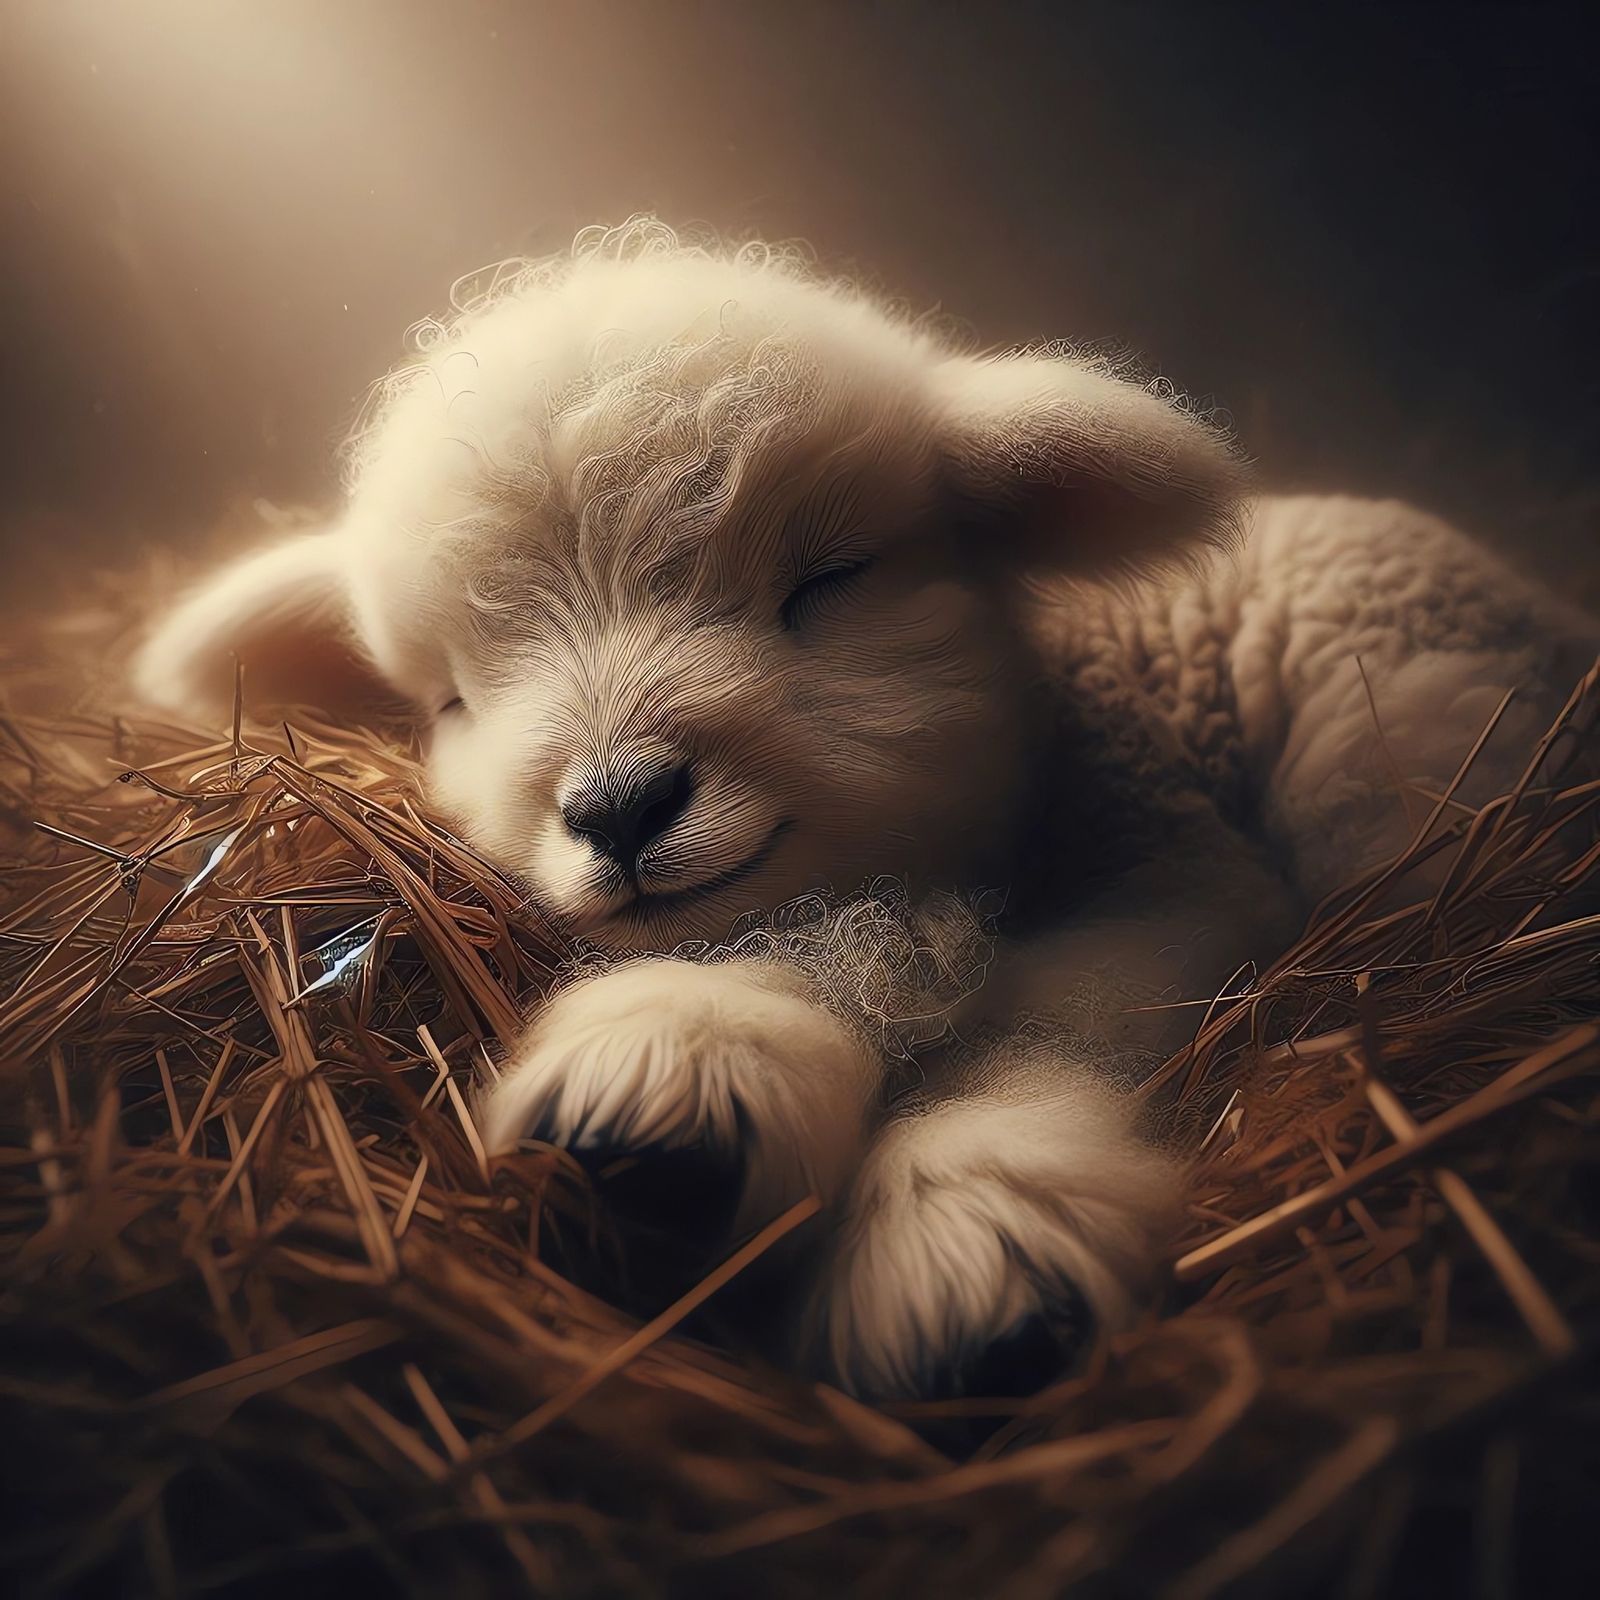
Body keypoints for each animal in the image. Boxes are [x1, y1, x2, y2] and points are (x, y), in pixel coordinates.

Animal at [133, 219, 1600, 1400]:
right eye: (451, 699)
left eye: (829, 581)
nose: (617, 804)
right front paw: (684, 1077)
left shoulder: (1178, 878)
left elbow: (1045, 1009)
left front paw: (962, 1233)